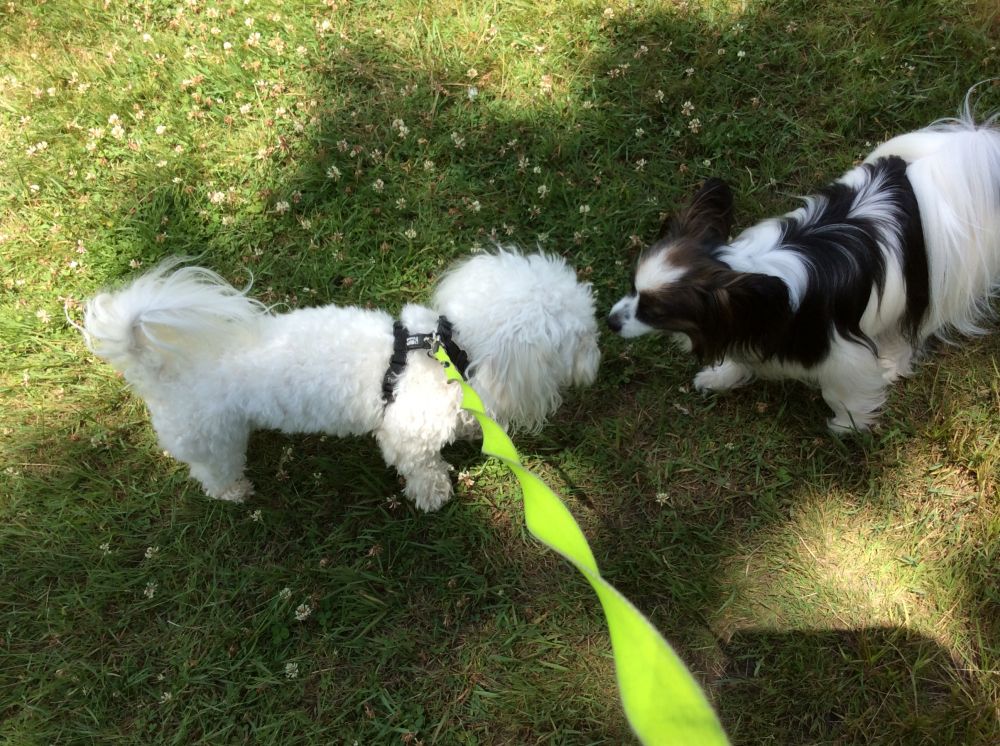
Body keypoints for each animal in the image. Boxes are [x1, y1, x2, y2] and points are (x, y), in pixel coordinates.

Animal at [80, 249, 600, 510]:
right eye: (581, 338)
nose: (598, 360)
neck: (447, 351)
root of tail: (155, 366)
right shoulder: (406, 436)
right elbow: (423, 468)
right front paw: (434, 495)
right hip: (208, 438)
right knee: (213, 471)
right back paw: (234, 491)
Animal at [608, 94, 1000, 432]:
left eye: (654, 312)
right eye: (631, 288)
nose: (610, 322)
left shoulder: (842, 355)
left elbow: (842, 393)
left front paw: (848, 425)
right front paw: (720, 376)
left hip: (929, 284)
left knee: (916, 327)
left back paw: (892, 363)